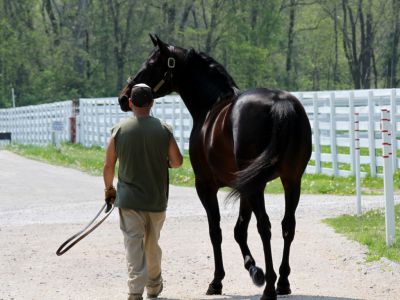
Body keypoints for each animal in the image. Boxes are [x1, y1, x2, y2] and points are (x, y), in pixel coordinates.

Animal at [118, 35, 312, 300]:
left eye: (150, 64)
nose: (124, 97)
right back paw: (282, 281)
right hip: (291, 181)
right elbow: (239, 230)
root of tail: (279, 104)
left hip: (259, 185)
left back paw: (270, 287)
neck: (211, 106)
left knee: (265, 227)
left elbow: (216, 230)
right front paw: (254, 270)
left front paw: (217, 281)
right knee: (287, 226)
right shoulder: (245, 187)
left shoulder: (206, 186)